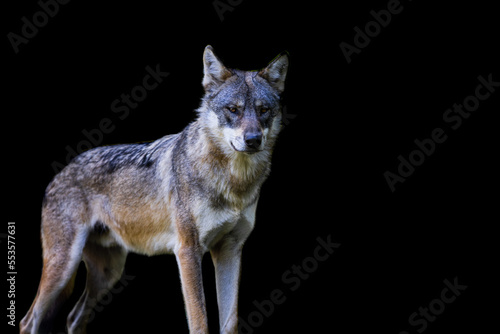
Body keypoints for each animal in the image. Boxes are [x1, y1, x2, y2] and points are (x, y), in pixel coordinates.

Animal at [20, 45, 290, 334]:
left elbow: (229, 324)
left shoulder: (230, 250)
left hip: (108, 273)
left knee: (73, 317)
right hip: (64, 266)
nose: (253, 140)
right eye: (233, 109)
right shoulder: (187, 250)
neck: (234, 183)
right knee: (29, 320)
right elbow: (200, 322)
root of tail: (59, 173)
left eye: (263, 110)